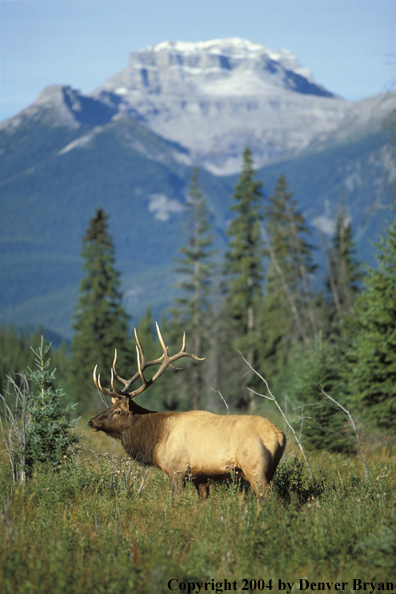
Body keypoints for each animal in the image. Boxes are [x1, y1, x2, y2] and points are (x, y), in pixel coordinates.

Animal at [87, 322, 284, 498]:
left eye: (117, 411)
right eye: (109, 406)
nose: (91, 421)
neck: (157, 441)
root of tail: (279, 435)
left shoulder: (177, 470)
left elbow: (176, 501)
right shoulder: (200, 476)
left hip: (255, 468)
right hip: (270, 471)